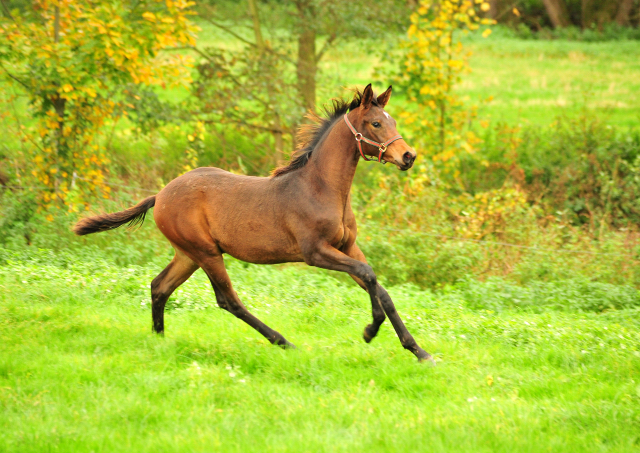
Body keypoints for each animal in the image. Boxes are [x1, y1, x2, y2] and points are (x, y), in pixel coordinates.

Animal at [75, 84, 436, 360]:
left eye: (391, 120)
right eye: (375, 123)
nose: (409, 156)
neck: (321, 188)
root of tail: (160, 194)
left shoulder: (347, 246)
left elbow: (380, 289)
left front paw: (419, 351)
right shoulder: (315, 252)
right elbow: (369, 275)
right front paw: (369, 331)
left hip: (188, 254)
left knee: (159, 286)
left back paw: (159, 340)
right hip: (206, 252)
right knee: (227, 300)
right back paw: (283, 341)